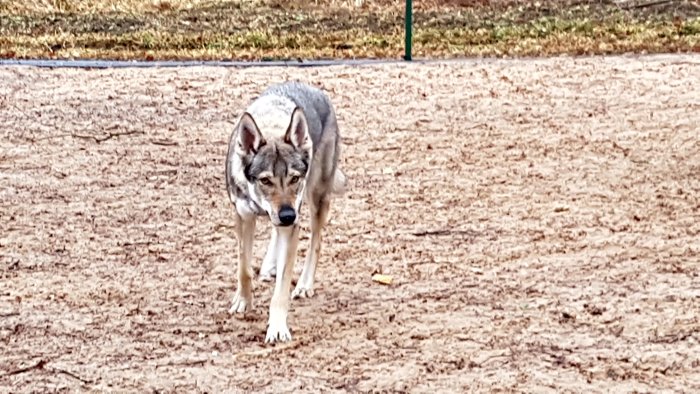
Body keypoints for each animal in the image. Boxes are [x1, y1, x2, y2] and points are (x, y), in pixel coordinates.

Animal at [223, 81, 346, 344]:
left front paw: (277, 328)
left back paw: (304, 285)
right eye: (265, 180)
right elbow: (244, 268)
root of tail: (313, 88)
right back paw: (269, 265)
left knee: (316, 243)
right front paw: (243, 301)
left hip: (316, 198)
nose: (288, 215)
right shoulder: (243, 216)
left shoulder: (291, 226)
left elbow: (281, 290)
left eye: (294, 178)